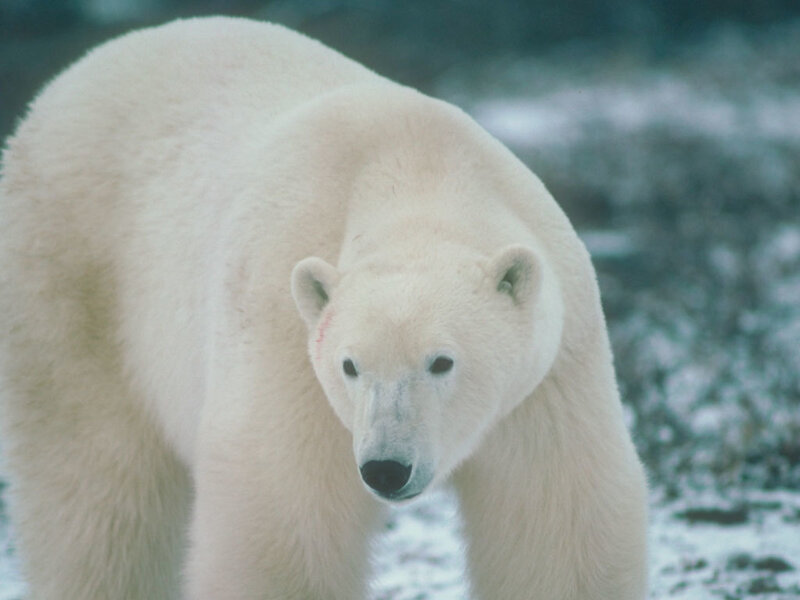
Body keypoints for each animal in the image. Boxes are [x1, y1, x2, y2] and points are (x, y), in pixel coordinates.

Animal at [0, 16, 648, 600]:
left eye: (442, 362)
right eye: (349, 366)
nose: (386, 467)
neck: (416, 167)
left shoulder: (549, 377)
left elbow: (559, 524)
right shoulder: (286, 335)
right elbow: (282, 521)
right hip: (73, 282)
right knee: (99, 496)